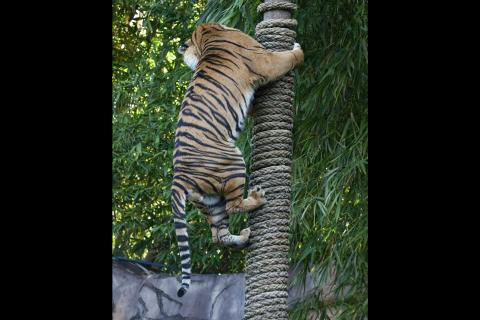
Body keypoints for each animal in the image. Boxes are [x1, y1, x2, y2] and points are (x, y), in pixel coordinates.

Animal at [171, 23, 302, 298]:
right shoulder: (264, 60)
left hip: (208, 203)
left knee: (218, 235)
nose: (181, 48)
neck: (206, 37)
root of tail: (178, 178)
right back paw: (257, 198)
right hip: (234, 162)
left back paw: (243, 237)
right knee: (234, 206)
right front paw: (298, 49)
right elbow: (286, 58)